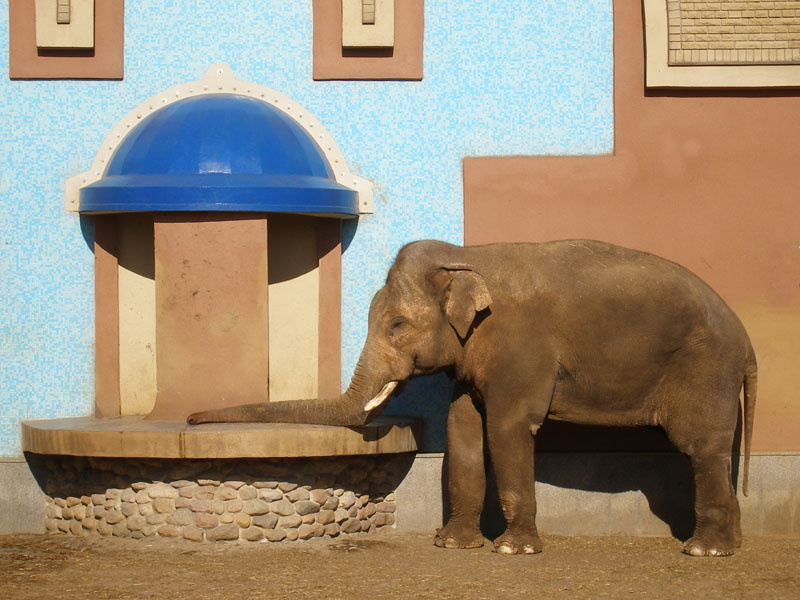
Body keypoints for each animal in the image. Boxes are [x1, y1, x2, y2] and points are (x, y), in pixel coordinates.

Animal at [187, 239, 757, 557]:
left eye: (396, 326)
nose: (192, 419)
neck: (467, 258)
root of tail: (745, 342)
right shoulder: (472, 356)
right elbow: (463, 429)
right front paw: (452, 545)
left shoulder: (520, 344)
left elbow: (507, 429)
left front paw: (513, 551)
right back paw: (729, 547)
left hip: (705, 367)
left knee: (700, 446)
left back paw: (703, 551)